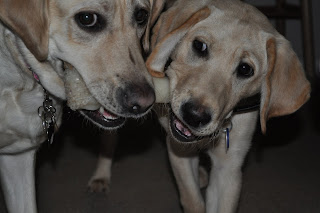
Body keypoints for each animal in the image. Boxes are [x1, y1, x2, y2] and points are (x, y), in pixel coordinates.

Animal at [146, 0, 312, 213]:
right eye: (200, 46)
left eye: (245, 69)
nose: (194, 115)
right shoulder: (179, 152)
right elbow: (193, 201)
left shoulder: (228, 169)